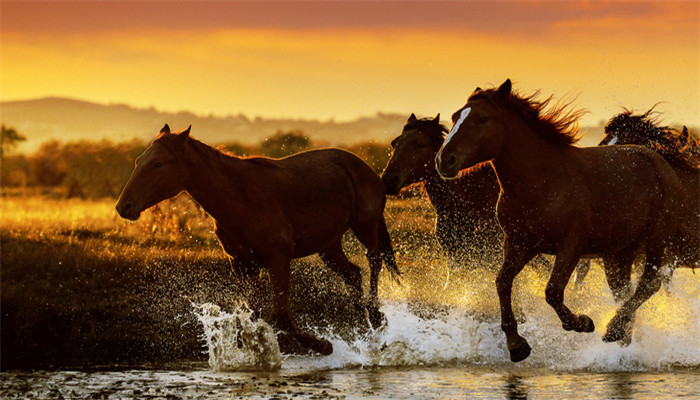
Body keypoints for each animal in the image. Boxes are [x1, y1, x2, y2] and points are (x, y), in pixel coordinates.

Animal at [116, 124, 401, 355]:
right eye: (139, 160)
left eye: (158, 164)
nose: (123, 206)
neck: (240, 199)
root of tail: (369, 170)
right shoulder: (243, 264)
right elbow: (253, 316)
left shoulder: (278, 260)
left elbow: (280, 316)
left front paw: (323, 346)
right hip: (328, 246)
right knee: (353, 274)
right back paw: (365, 331)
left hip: (365, 226)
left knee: (374, 260)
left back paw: (376, 318)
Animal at [436, 79, 685, 362]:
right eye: (455, 116)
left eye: (482, 118)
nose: (444, 160)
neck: (541, 183)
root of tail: (660, 163)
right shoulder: (520, 244)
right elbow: (502, 282)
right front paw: (517, 345)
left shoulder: (570, 247)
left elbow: (552, 291)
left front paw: (582, 322)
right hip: (619, 252)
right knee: (623, 291)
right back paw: (622, 339)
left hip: (657, 240)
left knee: (649, 284)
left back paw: (612, 329)